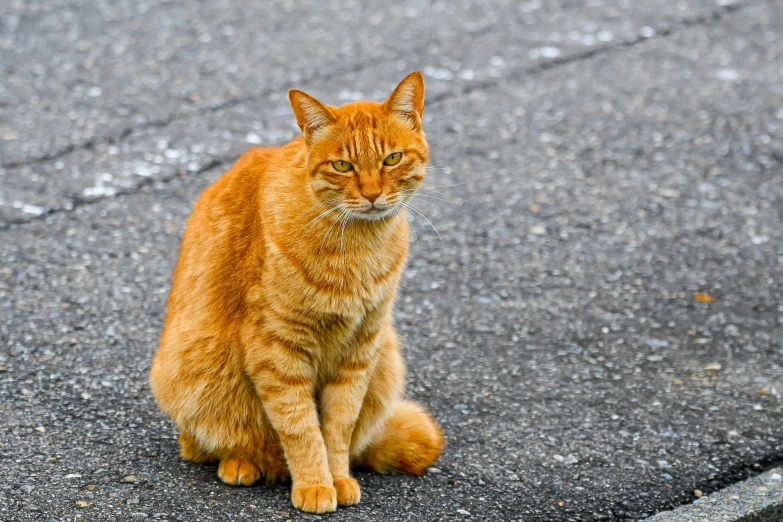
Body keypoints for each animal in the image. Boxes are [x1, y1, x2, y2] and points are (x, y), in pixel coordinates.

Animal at [150, 70, 444, 512]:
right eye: (342, 166)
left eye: (392, 159)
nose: (372, 195)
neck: (359, 246)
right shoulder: (277, 350)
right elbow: (301, 427)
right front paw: (315, 484)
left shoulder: (361, 349)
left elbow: (338, 426)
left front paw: (337, 478)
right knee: (207, 444)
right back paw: (244, 462)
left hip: (386, 361)